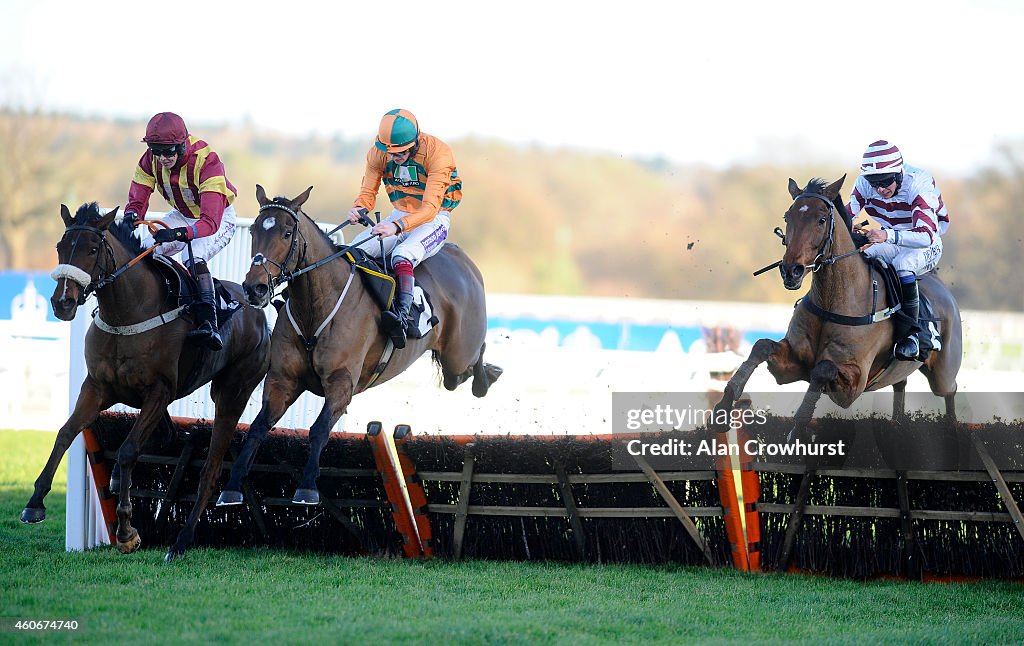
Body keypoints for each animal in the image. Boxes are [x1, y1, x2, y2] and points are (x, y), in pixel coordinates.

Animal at [24, 203, 272, 561]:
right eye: (60, 246)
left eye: (93, 248)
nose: (63, 303)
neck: (128, 313)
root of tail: (257, 311)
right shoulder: (98, 387)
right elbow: (65, 433)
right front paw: (34, 504)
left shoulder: (159, 392)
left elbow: (128, 450)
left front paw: (127, 532)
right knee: (170, 438)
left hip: (232, 392)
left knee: (211, 468)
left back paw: (181, 541)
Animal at [219, 184, 499, 507]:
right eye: (253, 230)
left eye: (288, 232)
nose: (256, 288)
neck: (315, 309)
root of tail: (460, 255)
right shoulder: (282, 379)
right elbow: (257, 427)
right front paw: (231, 486)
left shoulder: (342, 382)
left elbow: (319, 430)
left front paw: (307, 487)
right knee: (458, 376)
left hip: (459, 351)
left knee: (473, 361)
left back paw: (487, 377)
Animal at [716, 178, 962, 444]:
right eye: (787, 216)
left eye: (821, 219)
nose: (791, 271)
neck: (833, 302)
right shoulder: (792, 365)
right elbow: (761, 346)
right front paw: (723, 407)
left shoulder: (854, 384)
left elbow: (823, 369)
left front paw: (798, 430)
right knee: (901, 387)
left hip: (943, 372)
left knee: (950, 391)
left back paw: (953, 431)